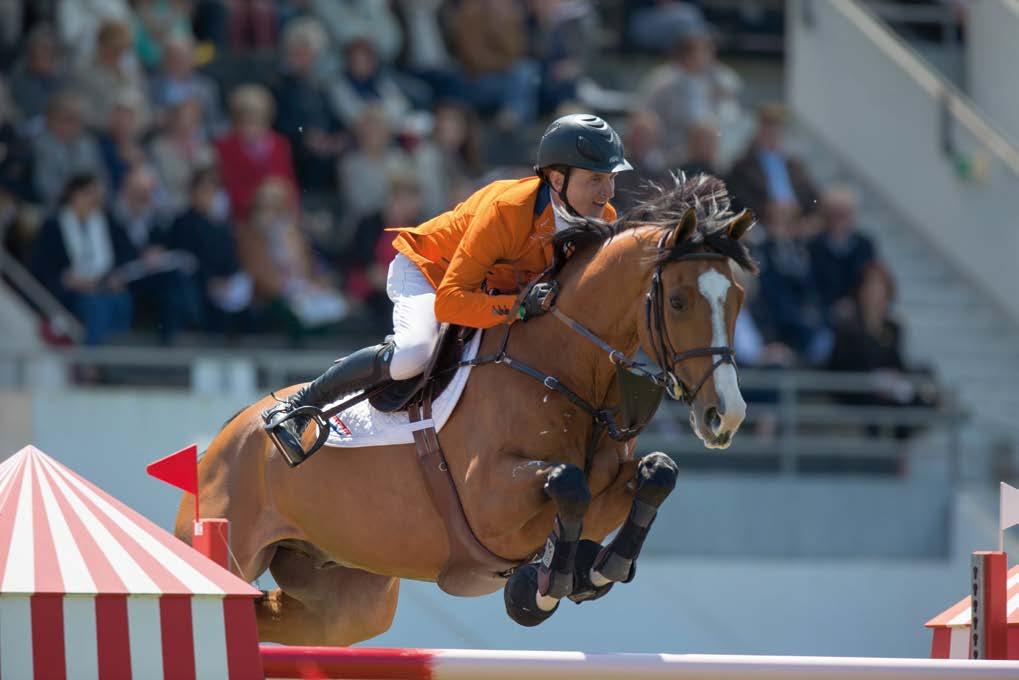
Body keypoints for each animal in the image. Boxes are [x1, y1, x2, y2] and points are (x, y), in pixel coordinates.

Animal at [175, 173, 758, 648]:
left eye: (738, 300)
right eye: (678, 301)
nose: (724, 416)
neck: (563, 368)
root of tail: (224, 437)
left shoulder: (608, 490)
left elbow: (657, 473)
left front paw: (595, 570)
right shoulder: (491, 500)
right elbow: (568, 482)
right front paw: (545, 588)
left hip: (345, 602)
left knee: (272, 616)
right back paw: (293, 419)